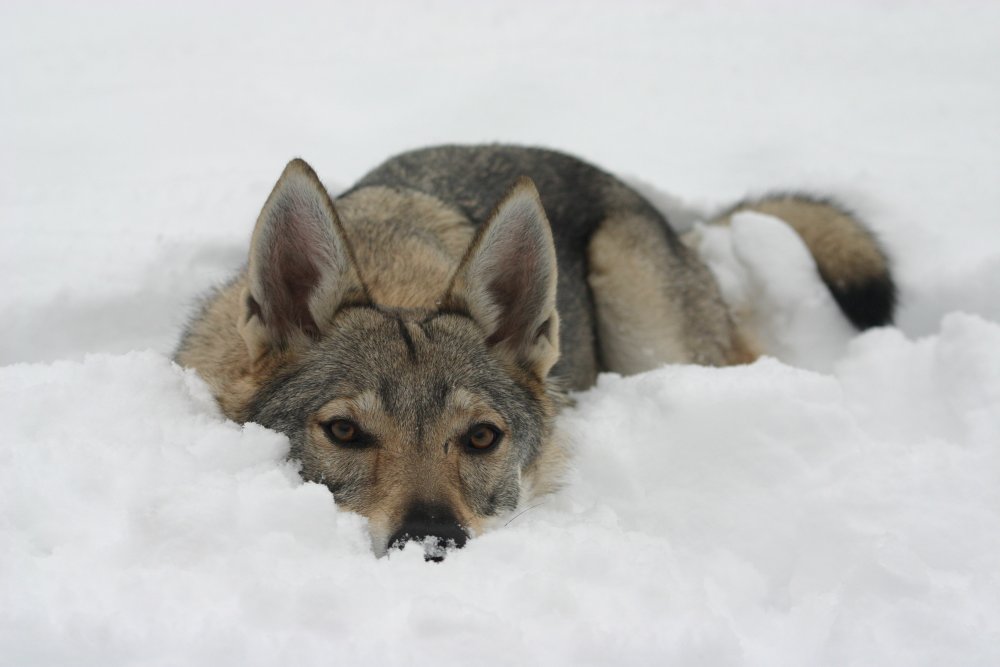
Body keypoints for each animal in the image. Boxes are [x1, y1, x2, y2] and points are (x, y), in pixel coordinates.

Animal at [174, 145, 900, 560]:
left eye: (481, 437)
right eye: (345, 431)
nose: (433, 540)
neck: (394, 273)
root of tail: (667, 217)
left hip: (645, 313)